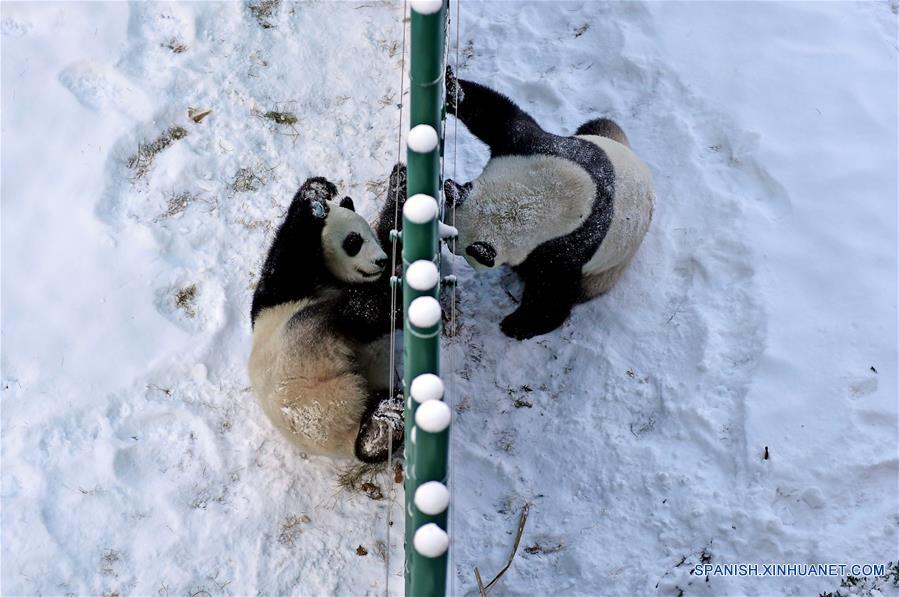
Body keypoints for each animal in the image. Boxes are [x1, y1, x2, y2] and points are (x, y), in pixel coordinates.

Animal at [250, 165, 412, 464]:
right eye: (354, 241)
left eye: (370, 237)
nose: (380, 261)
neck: (328, 276)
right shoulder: (284, 293)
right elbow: (284, 257)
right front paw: (316, 195)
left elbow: (394, 232)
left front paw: (400, 178)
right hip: (309, 358)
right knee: (358, 313)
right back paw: (383, 423)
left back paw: (384, 422)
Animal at [446, 68, 656, 340]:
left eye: (456, 247)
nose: (446, 246)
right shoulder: (541, 151)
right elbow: (501, 117)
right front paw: (452, 89)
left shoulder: (569, 248)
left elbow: (552, 292)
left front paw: (516, 324)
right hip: (604, 137)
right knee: (600, 123)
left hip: (607, 268)